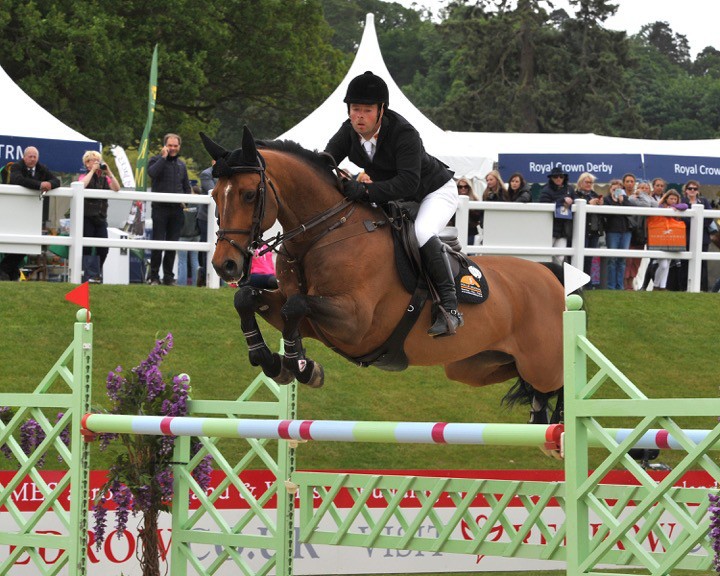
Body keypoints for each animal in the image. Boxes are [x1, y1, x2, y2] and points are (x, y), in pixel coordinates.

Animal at [200, 126, 564, 424]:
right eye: (215, 195)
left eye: (249, 194)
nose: (225, 265)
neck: (321, 234)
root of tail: (551, 276)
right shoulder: (308, 317)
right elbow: (247, 298)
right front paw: (274, 361)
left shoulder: (355, 323)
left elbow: (296, 306)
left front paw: (299, 366)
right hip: (474, 365)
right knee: (530, 385)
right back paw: (540, 418)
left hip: (542, 363)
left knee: (559, 382)